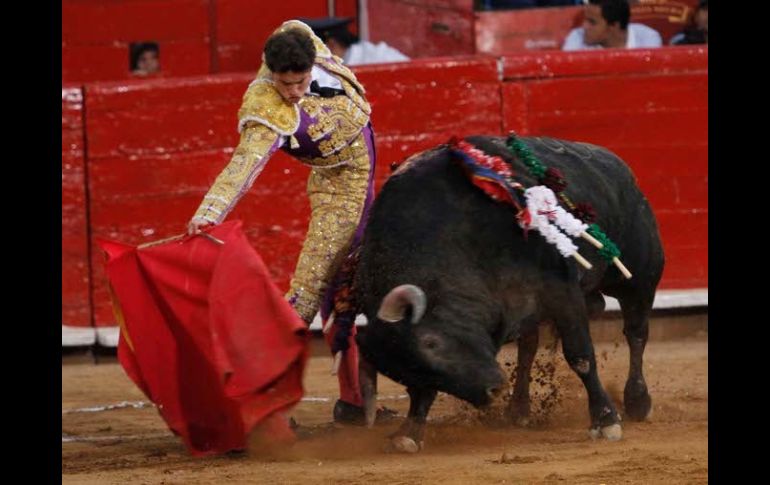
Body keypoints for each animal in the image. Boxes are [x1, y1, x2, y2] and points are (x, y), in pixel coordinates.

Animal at [352, 135, 660, 450]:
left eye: (431, 343)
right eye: (404, 373)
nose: (492, 390)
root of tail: (621, 168)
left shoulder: (562, 290)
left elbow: (581, 356)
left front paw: (606, 419)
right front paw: (410, 432)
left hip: (639, 278)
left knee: (636, 332)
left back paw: (637, 401)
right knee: (528, 348)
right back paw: (518, 409)